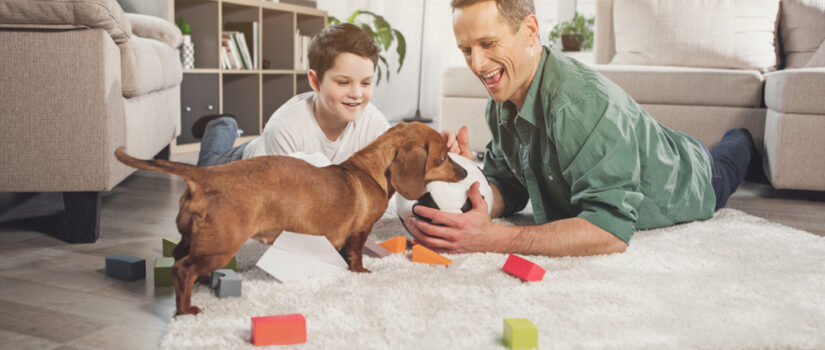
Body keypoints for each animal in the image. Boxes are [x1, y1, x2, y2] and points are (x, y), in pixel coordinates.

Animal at [113, 121, 466, 316]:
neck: (369, 170)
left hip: (193, 239)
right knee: (182, 268)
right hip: (221, 246)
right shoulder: (361, 230)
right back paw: (185, 309)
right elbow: (355, 253)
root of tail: (205, 176)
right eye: (442, 158)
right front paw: (361, 271)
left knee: (178, 256)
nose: (464, 172)